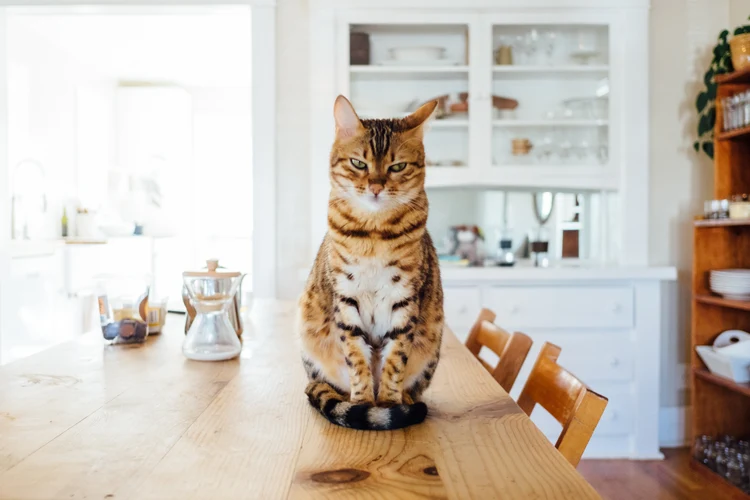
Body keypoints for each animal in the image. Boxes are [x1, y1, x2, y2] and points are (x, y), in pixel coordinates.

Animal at [296, 96, 444, 430]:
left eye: (397, 166)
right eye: (358, 164)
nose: (376, 187)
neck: (374, 234)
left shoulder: (405, 300)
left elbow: (395, 360)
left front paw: (388, 403)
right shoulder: (346, 298)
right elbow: (356, 358)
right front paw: (363, 403)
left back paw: (406, 400)